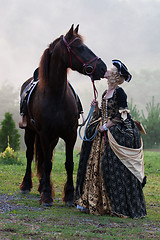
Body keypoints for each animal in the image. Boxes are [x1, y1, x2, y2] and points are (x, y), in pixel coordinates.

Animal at [19, 24, 107, 206]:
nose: (102, 67)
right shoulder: (45, 135)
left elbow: (68, 163)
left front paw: (70, 195)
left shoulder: (69, 134)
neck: (56, 95)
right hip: (30, 132)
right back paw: (27, 185)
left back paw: (41, 185)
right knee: (31, 155)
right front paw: (47, 196)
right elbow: (46, 164)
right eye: (79, 47)